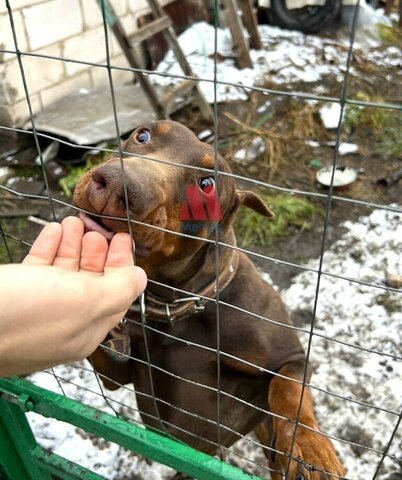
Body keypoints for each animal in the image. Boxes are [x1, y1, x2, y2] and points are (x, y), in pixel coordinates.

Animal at [74, 121, 344, 480]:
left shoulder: (292, 357)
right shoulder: (116, 374)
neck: (178, 307)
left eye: (207, 184)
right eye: (142, 135)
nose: (116, 183)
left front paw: (310, 450)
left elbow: (288, 389)